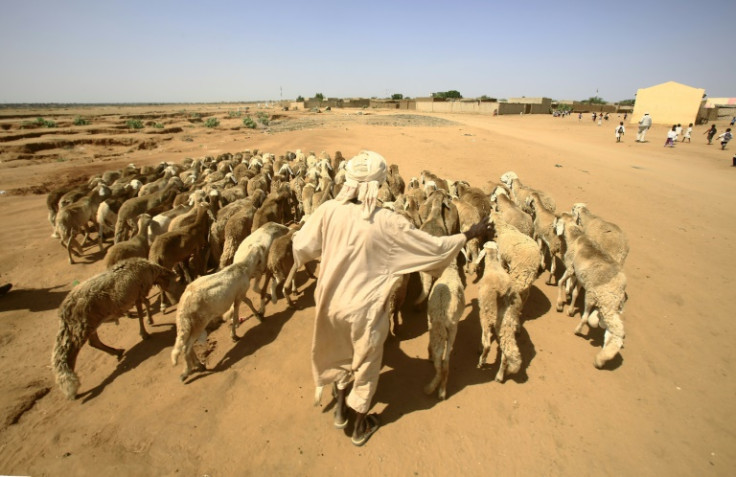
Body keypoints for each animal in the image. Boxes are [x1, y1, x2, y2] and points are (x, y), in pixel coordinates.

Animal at [52, 256, 180, 398]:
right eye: (177, 282)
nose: (177, 298)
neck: (151, 270)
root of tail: (63, 312)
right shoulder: (137, 292)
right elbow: (141, 311)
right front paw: (144, 333)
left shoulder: (139, 293)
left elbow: (146, 304)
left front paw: (150, 320)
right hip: (80, 327)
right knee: (68, 354)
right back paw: (72, 387)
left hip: (90, 324)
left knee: (94, 342)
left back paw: (117, 351)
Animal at [422, 258, 462, 400]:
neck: (449, 269)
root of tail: (441, 313)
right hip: (452, 329)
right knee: (445, 363)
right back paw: (442, 391)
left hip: (432, 324)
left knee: (438, 361)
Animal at [474, 240, 520, 382]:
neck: (493, 265)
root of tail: (505, 297)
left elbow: (484, 338)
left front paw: (479, 348)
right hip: (507, 324)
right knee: (505, 354)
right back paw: (499, 376)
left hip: (487, 316)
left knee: (488, 344)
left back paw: (481, 361)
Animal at [552, 216, 628, 368]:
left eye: (557, 220)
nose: (552, 228)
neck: (575, 238)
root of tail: (620, 288)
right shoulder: (581, 277)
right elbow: (575, 293)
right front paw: (570, 309)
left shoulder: (571, 268)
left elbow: (561, 282)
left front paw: (559, 304)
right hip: (608, 305)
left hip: (596, 297)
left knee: (600, 323)